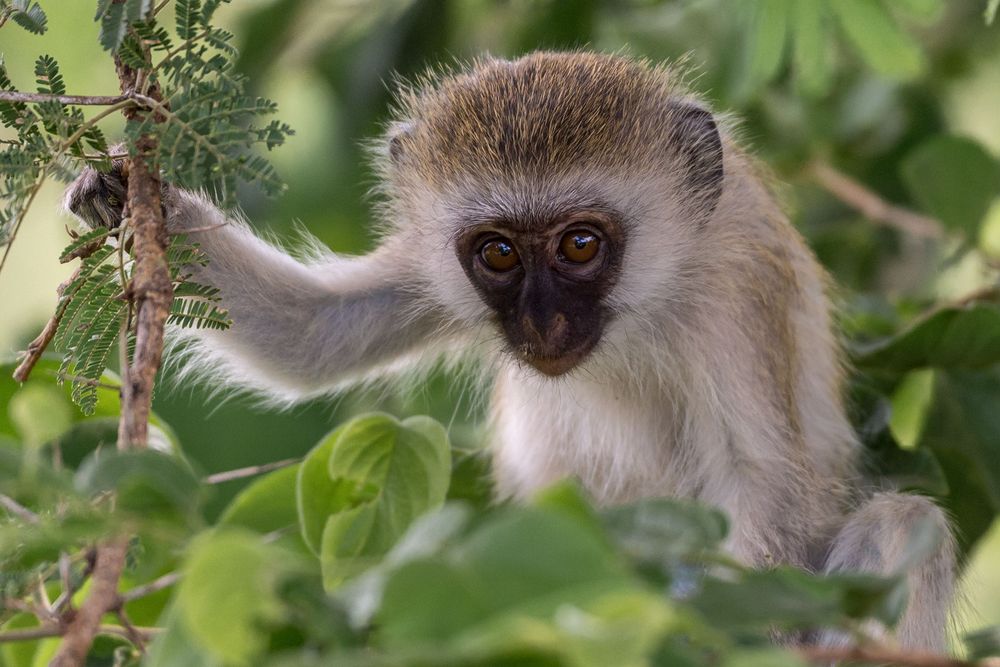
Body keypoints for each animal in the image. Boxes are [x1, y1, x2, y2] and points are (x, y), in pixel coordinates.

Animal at [66, 53, 956, 652]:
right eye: (497, 253)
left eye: (580, 244)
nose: (540, 322)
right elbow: (315, 335)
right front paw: (130, 198)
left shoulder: (740, 286)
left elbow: (763, 481)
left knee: (905, 519)